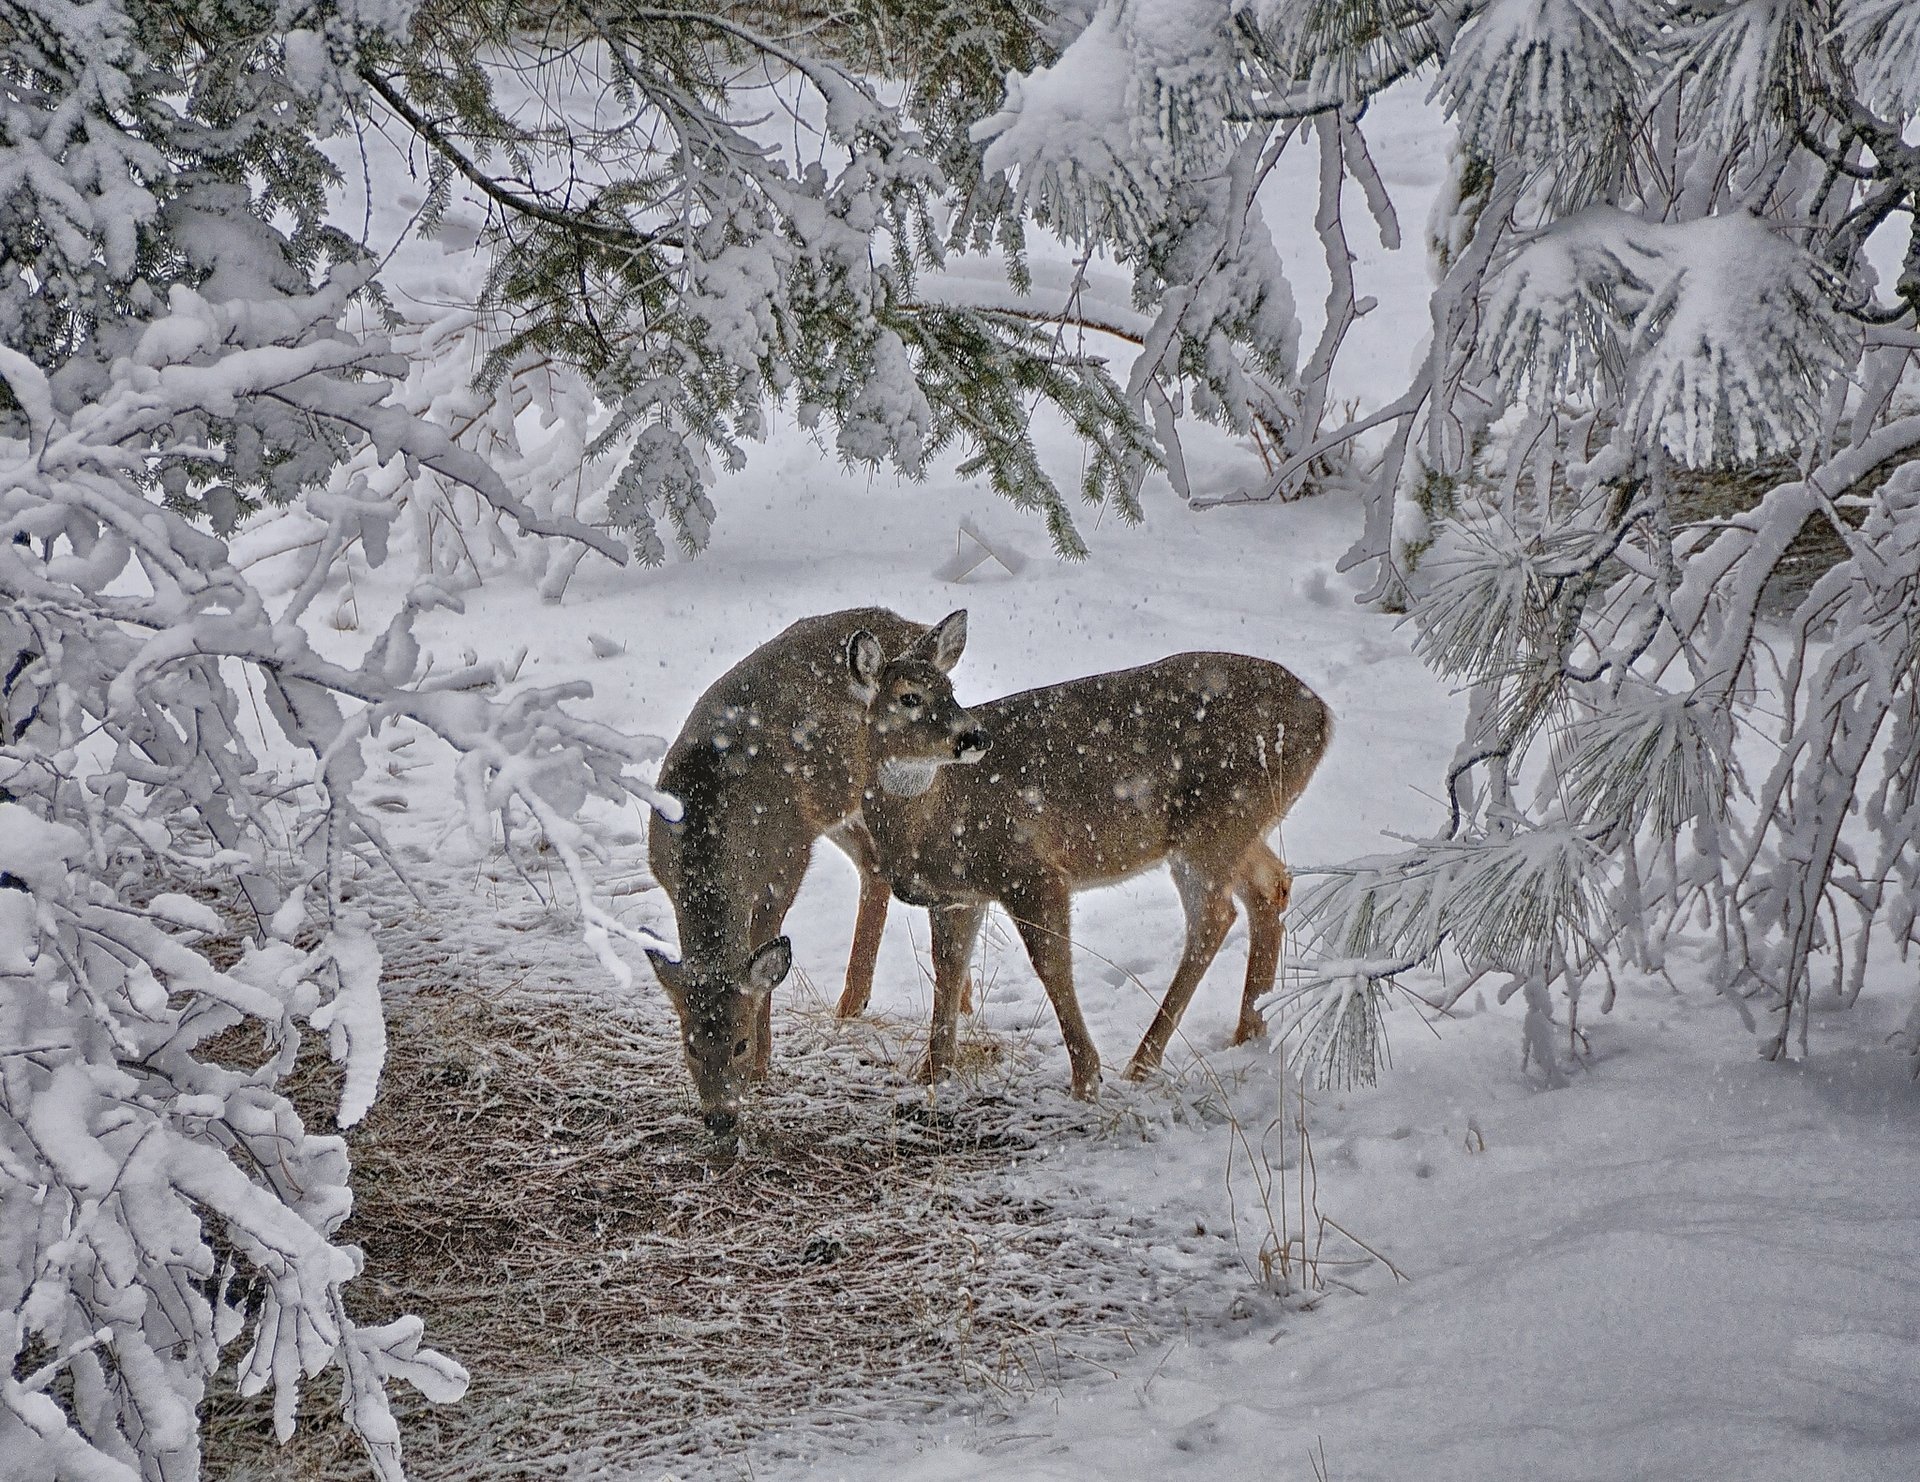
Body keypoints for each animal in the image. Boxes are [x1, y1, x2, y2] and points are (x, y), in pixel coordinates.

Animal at [645, 606, 944, 1144]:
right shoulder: (664, 873)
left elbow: (764, 964)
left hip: (902, 782)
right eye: (691, 1045)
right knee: (875, 866)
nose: (720, 1118)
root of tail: (911, 626)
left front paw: (764, 1065)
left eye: (739, 1044)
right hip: (838, 806)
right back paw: (851, 1003)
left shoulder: (785, 865)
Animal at [848, 606, 1328, 1098]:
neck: (933, 817)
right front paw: (930, 1073)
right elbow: (948, 968)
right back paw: (1249, 1033)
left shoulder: (1030, 868)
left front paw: (1086, 1077)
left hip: (1216, 823)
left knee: (1214, 917)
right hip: (1239, 826)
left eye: (950, 691)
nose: (974, 737)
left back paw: (1142, 1063)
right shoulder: (956, 896)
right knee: (1271, 885)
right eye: (909, 697)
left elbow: (1051, 964)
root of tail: (1323, 716)